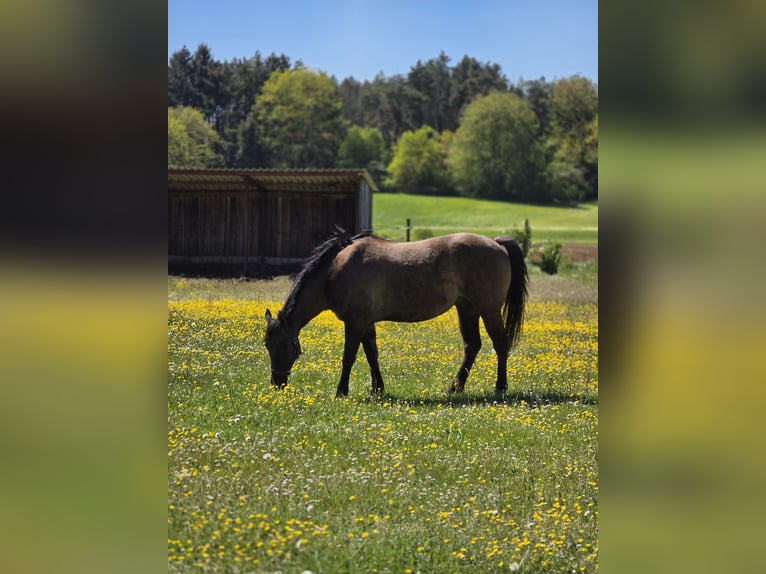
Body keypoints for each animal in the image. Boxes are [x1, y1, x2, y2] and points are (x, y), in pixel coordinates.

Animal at [263, 227, 528, 398]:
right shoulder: (366, 323)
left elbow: (349, 357)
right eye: (267, 345)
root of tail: (496, 243)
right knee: (472, 346)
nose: (276, 383)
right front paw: (377, 388)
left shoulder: (355, 322)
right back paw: (455, 388)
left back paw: (500, 387)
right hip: (466, 308)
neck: (335, 270)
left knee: (500, 344)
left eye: (282, 345)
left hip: (488, 309)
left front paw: (341, 391)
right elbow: (372, 354)